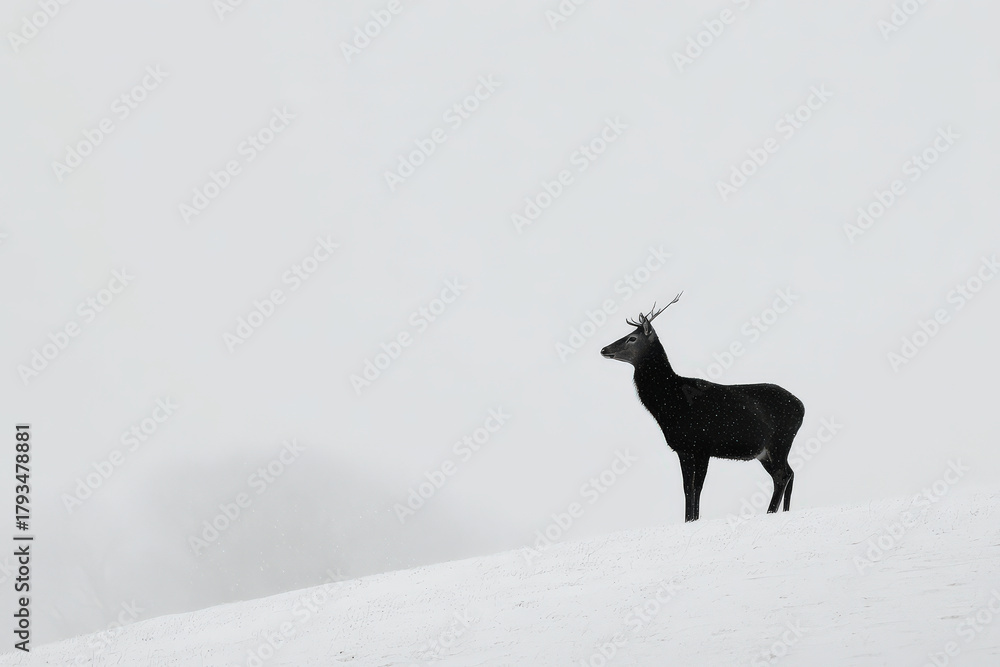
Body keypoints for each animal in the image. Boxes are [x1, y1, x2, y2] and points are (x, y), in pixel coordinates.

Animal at [600, 293, 805, 522]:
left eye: (631, 338)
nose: (604, 349)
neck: (671, 405)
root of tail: (802, 406)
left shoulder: (703, 444)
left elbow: (696, 487)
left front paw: (693, 519)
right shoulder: (684, 448)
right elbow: (687, 488)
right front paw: (688, 519)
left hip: (780, 440)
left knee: (782, 475)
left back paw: (770, 512)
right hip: (766, 451)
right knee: (789, 472)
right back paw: (784, 510)